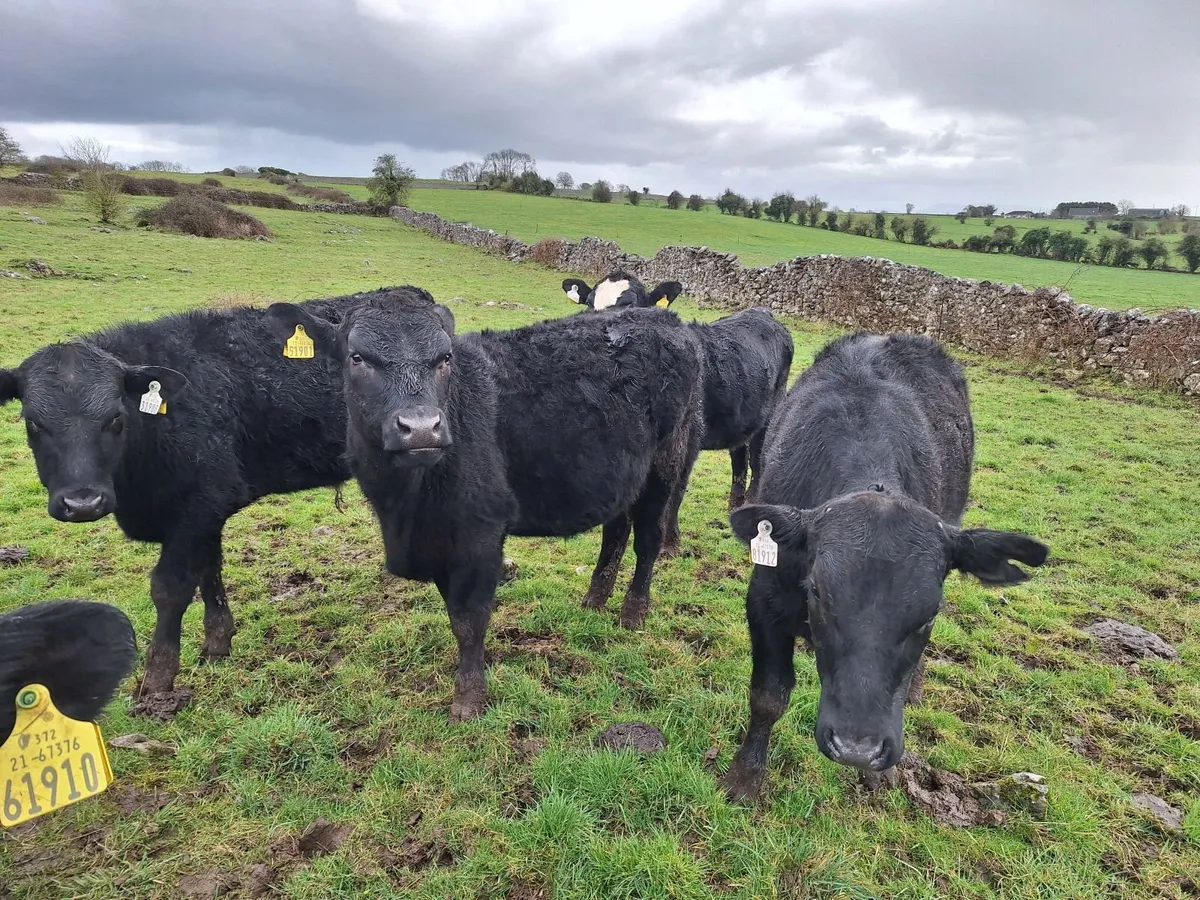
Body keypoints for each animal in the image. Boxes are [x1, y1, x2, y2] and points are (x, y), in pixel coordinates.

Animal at [0, 291, 393, 712]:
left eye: (116, 418)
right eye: (33, 422)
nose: (82, 503)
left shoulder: (200, 506)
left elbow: (170, 588)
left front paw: (157, 682)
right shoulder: (208, 512)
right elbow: (209, 571)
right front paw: (217, 644)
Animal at [266, 287, 704, 721]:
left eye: (444, 358)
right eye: (357, 357)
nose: (421, 428)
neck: (404, 508)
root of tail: (662, 319)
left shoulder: (480, 534)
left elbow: (469, 620)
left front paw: (469, 699)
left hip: (666, 463)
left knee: (648, 538)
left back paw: (633, 612)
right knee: (615, 531)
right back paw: (594, 601)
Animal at [562, 272, 794, 552]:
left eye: (630, 306)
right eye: (589, 304)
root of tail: (764, 314)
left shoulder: (688, 441)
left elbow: (677, 491)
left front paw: (669, 543)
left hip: (772, 409)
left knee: (757, 459)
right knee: (739, 457)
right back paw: (735, 506)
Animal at [720, 332, 1049, 801]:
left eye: (930, 613)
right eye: (817, 591)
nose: (857, 748)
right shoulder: (764, 599)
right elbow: (768, 695)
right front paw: (745, 778)